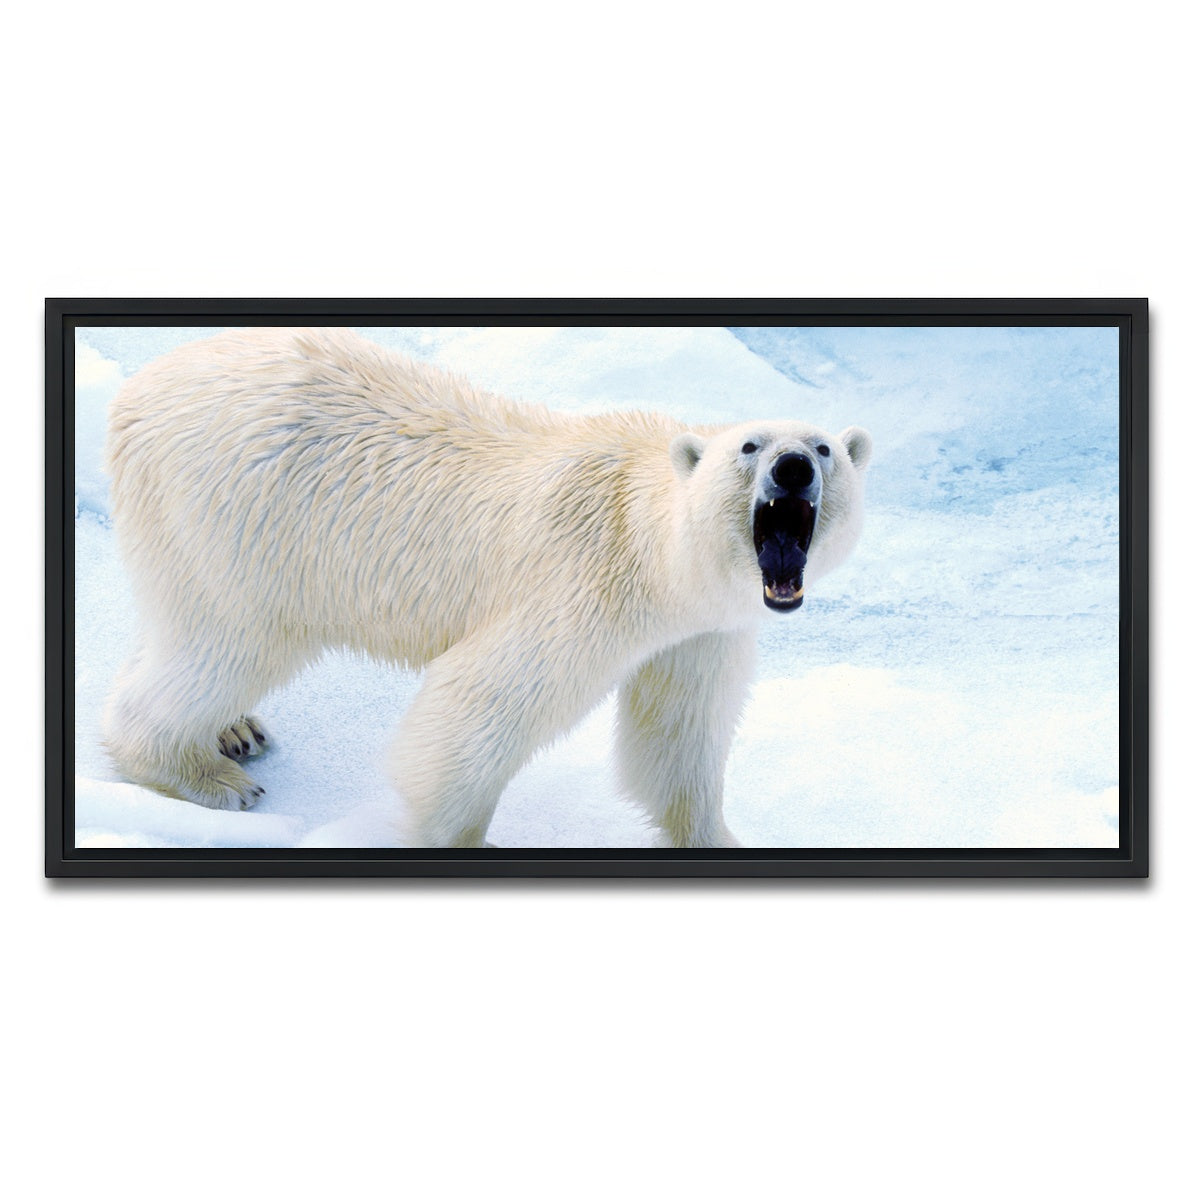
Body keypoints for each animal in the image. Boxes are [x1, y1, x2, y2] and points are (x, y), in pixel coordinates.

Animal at [101, 327, 872, 848]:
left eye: (824, 447)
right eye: (750, 446)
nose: (794, 468)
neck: (650, 541)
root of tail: (136, 390)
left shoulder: (701, 630)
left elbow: (677, 735)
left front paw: (716, 835)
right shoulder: (583, 587)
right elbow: (476, 707)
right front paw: (463, 836)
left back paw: (235, 729)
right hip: (240, 517)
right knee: (227, 641)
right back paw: (207, 775)